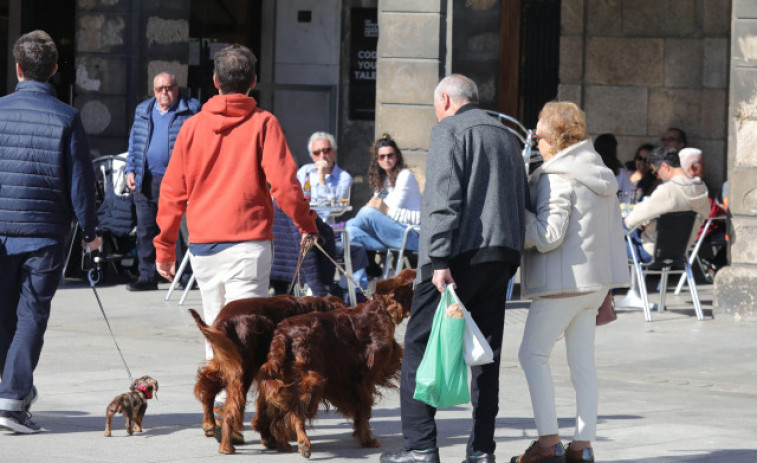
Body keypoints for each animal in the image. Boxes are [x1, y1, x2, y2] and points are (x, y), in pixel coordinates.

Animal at [252, 270, 416, 458]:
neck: (381, 311)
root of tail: (283, 334)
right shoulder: (362, 379)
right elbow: (363, 410)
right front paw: (367, 440)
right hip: (313, 380)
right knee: (296, 411)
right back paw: (303, 442)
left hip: (285, 378)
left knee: (278, 412)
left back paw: (281, 443)